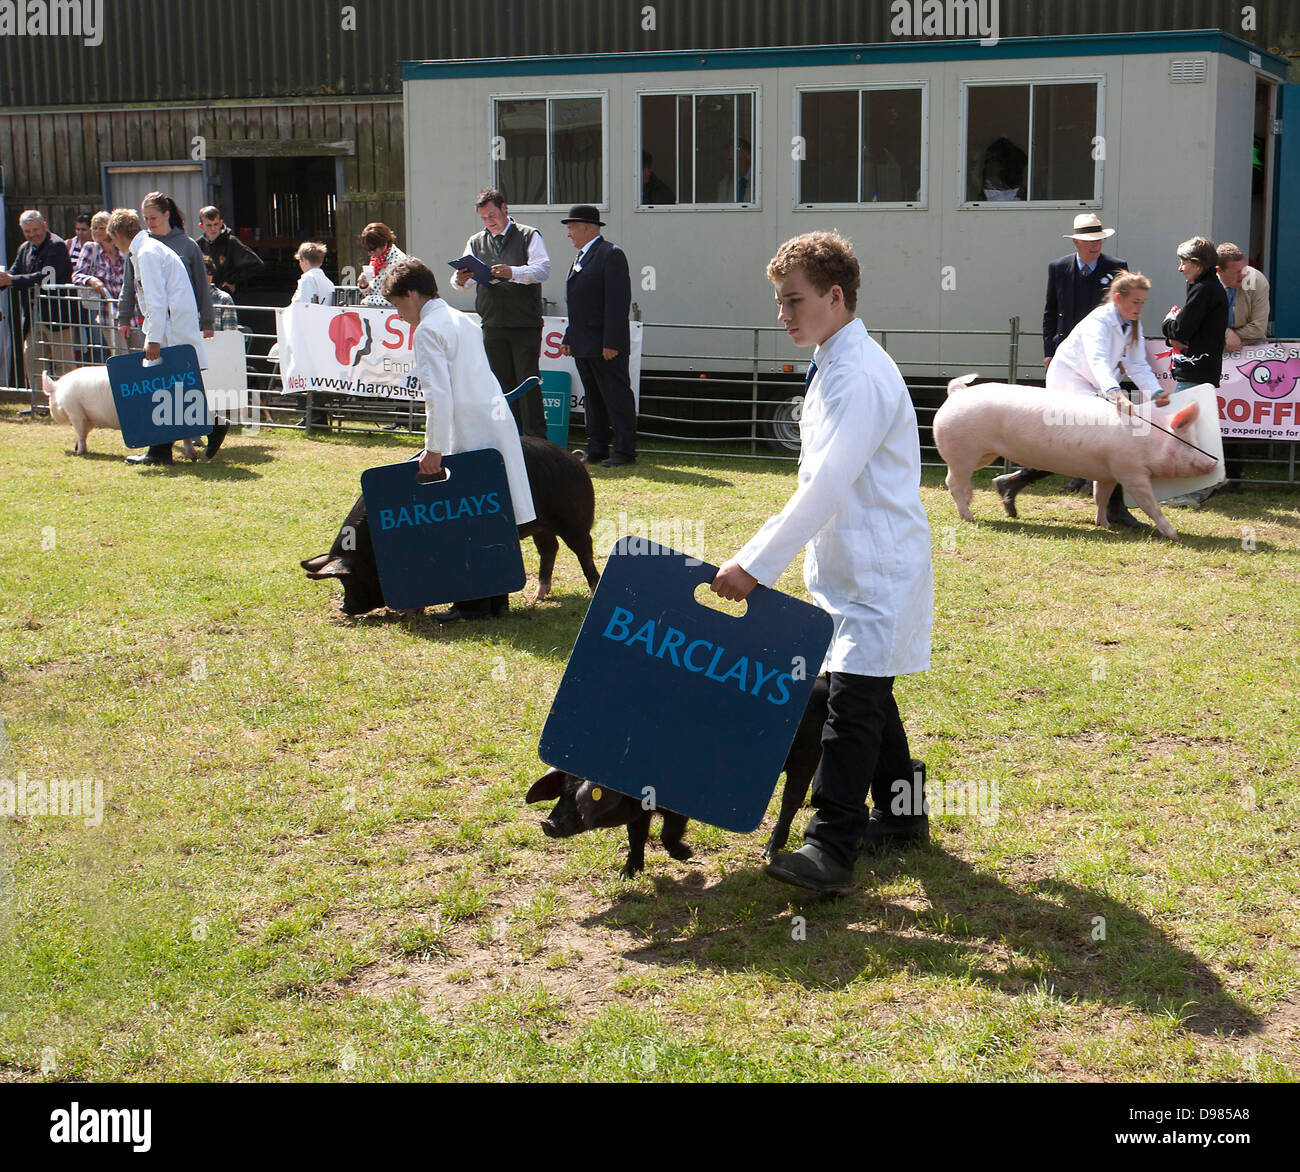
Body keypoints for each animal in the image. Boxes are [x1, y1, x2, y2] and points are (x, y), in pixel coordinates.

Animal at [43, 369, 197, 459]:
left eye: (49, 397)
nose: (51, 413)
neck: (60, 394)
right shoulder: (88, 416)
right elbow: (84, 433)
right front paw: (76, 447)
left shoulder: (75, 412)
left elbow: (81, 433)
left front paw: (80, 452)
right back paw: (193, 456)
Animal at [304, 441, 603, 618]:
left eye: (348, 579)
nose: (344, 607)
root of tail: (575, 458)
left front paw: (415, 612)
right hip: (541, 526)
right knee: (549, 549)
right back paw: (538, 597)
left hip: (574, 520)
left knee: (584, 551)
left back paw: (592, 591)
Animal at [935, 376, 1216, 540]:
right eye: (1187, 443)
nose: (1213, 462)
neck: (1148, 439)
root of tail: (957, 392)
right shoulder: (1130, 470)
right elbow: (1149, 504)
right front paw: (1174, 535)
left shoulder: (1108, 472)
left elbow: (1100, 497)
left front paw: (1104, 525)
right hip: (962, 451)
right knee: (952, 482)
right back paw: (969, 516)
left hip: (983, 454)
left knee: (964, 480)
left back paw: (975, 502)